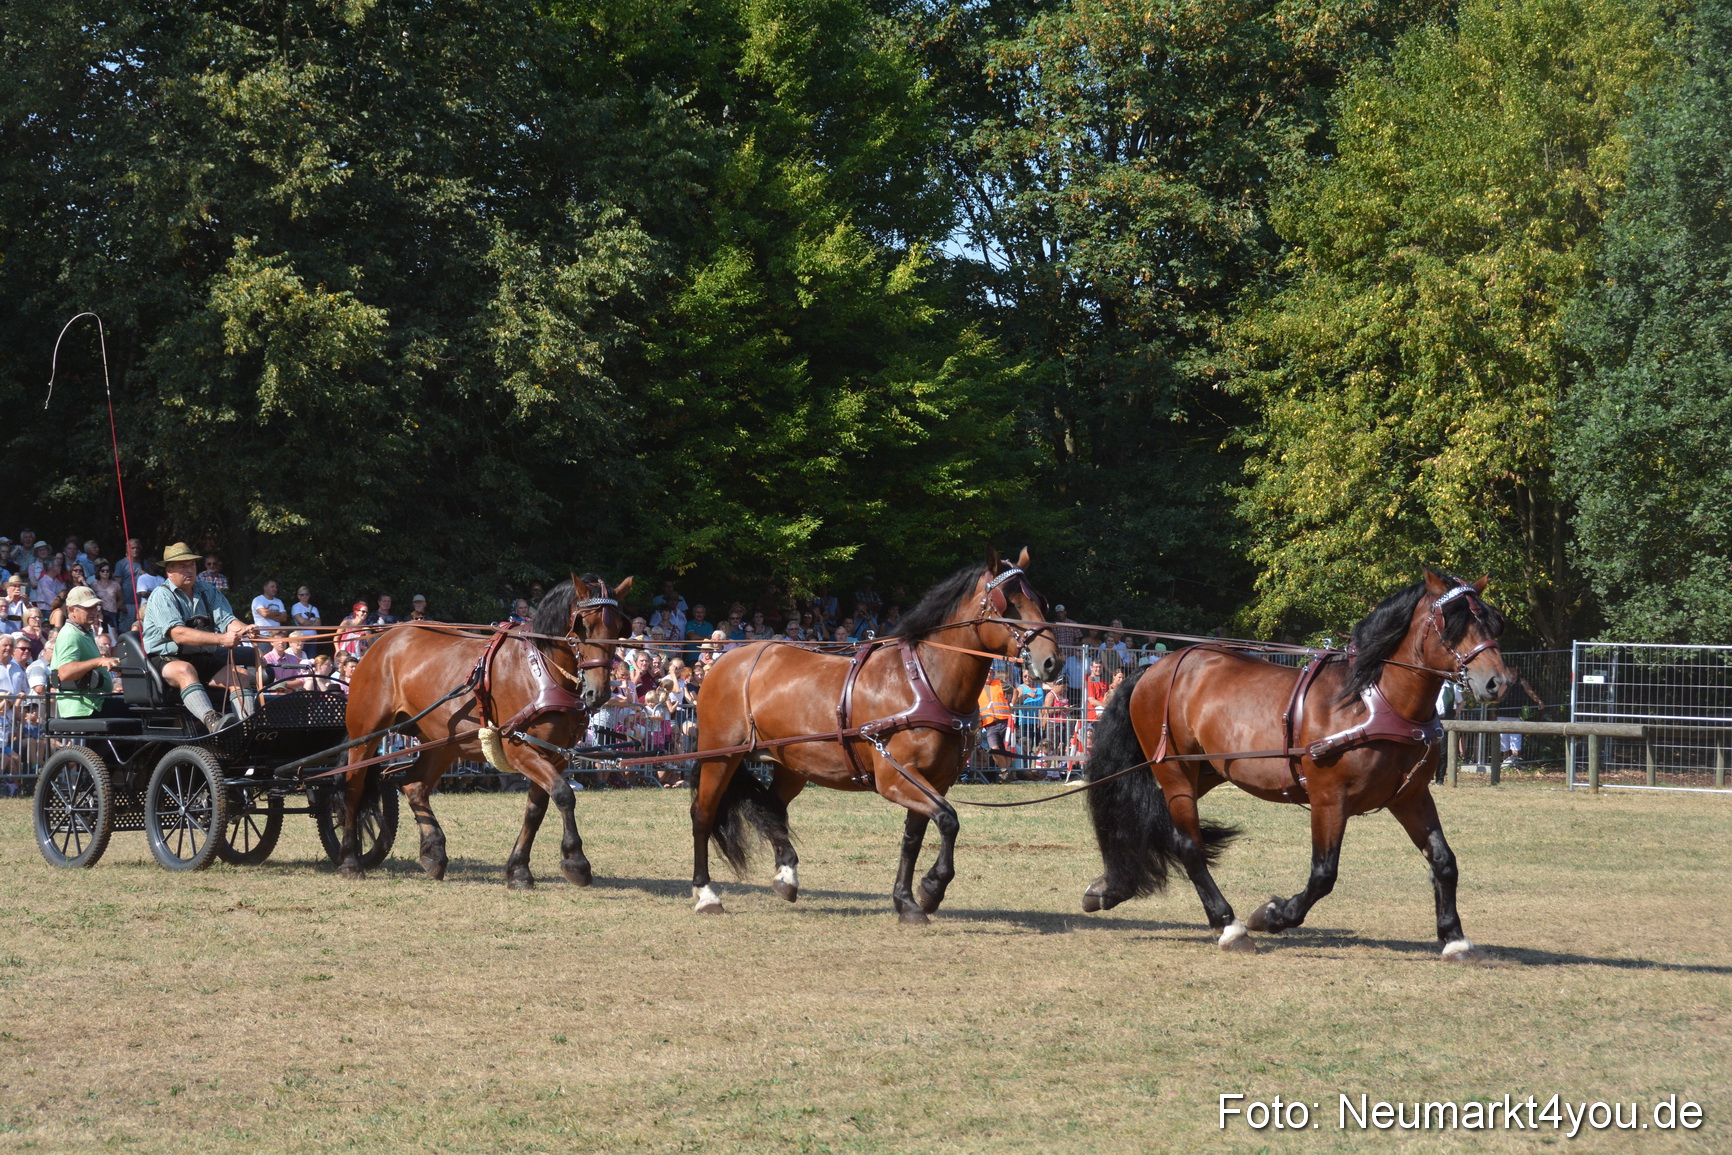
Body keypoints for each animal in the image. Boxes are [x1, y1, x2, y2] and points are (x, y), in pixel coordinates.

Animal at [335, 573, 632, 888]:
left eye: (617, 627)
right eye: (583, 625)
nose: (599, 692)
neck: (542, 671)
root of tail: (385, 641)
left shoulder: (556, 754)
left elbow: (536, 809)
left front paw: (519, 869)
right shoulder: (519, 748)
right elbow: (564, 795)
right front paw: (576, 862)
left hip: (442, 742)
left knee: (414, 786)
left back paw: (434, 854)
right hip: (365, 734)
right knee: (352, 788)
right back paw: (350, 861)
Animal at [687, 550, 1063, 922]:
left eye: (1039, 600)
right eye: (1007, 603)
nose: (1051, 663)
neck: (924, 684)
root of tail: (727, 661)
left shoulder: (935, 781)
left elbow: (915, 836)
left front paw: (907, 901)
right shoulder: (894, 777)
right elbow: (948, 820)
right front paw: (932, 888)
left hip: (792, 764)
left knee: (772, 807)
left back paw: (786, 876)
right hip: (720, 756)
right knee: (703, 814)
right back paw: (706, 893)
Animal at [1081, 571, 1511, 960]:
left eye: (1492, 623)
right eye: (1453, 626)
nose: (1498, 682)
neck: (1373, 701)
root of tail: (1158, 666)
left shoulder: (1411, 797)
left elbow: (1444, 860)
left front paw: (1454, 937)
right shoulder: (1329, 800)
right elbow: (1323, 875)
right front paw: (1272, 914)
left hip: (1203, 771)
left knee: (1149, 826)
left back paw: (1109, 887)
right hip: (1175, 772)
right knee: (1189, 846)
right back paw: (1229, 925)